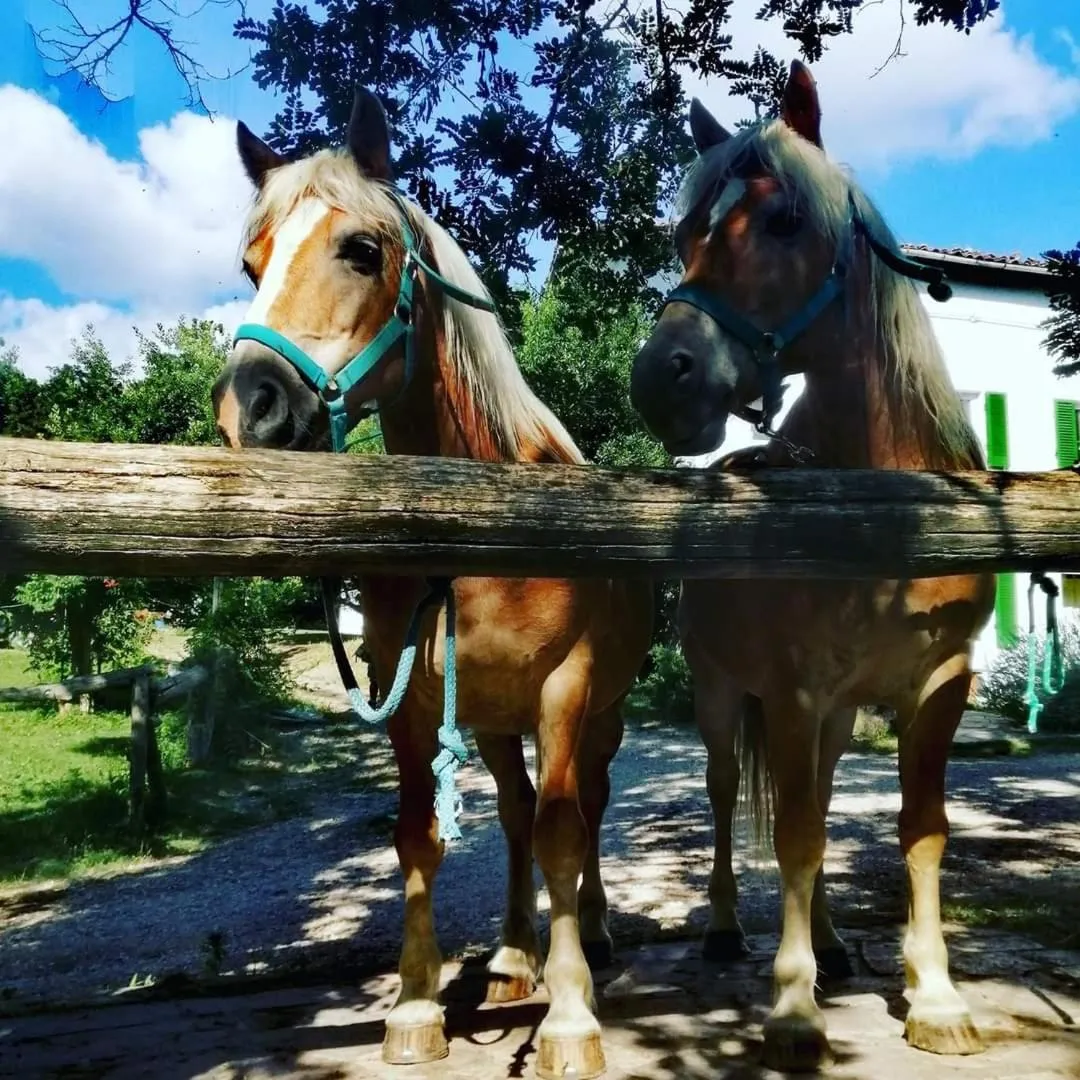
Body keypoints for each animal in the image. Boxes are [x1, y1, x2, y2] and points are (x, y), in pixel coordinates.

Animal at [212, 89, 653, 1079]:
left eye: (361, 249)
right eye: (251, 263)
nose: (248, 406)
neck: (473, 518)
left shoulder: (566, 692)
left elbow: (567, 832)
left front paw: (572, 1017)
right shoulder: (407, 696)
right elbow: (420, 837)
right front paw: (416, 1008)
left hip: (598, 716)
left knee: (585, 807)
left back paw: (593, 935)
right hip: (488, 719)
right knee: (517, 813)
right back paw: (514, 959)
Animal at [629, 61, 993, 1072]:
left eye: (785, 220)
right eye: (684, 233)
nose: (660, 378)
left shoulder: (937, 685)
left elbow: (917, 833)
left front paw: (937, 999)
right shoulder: (789, 692)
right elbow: (791, 835)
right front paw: (792, 1011)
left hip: (832, 717)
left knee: (824, 800)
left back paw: (829, 942)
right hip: (723, 698)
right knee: (725, 798)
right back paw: (728, 932)